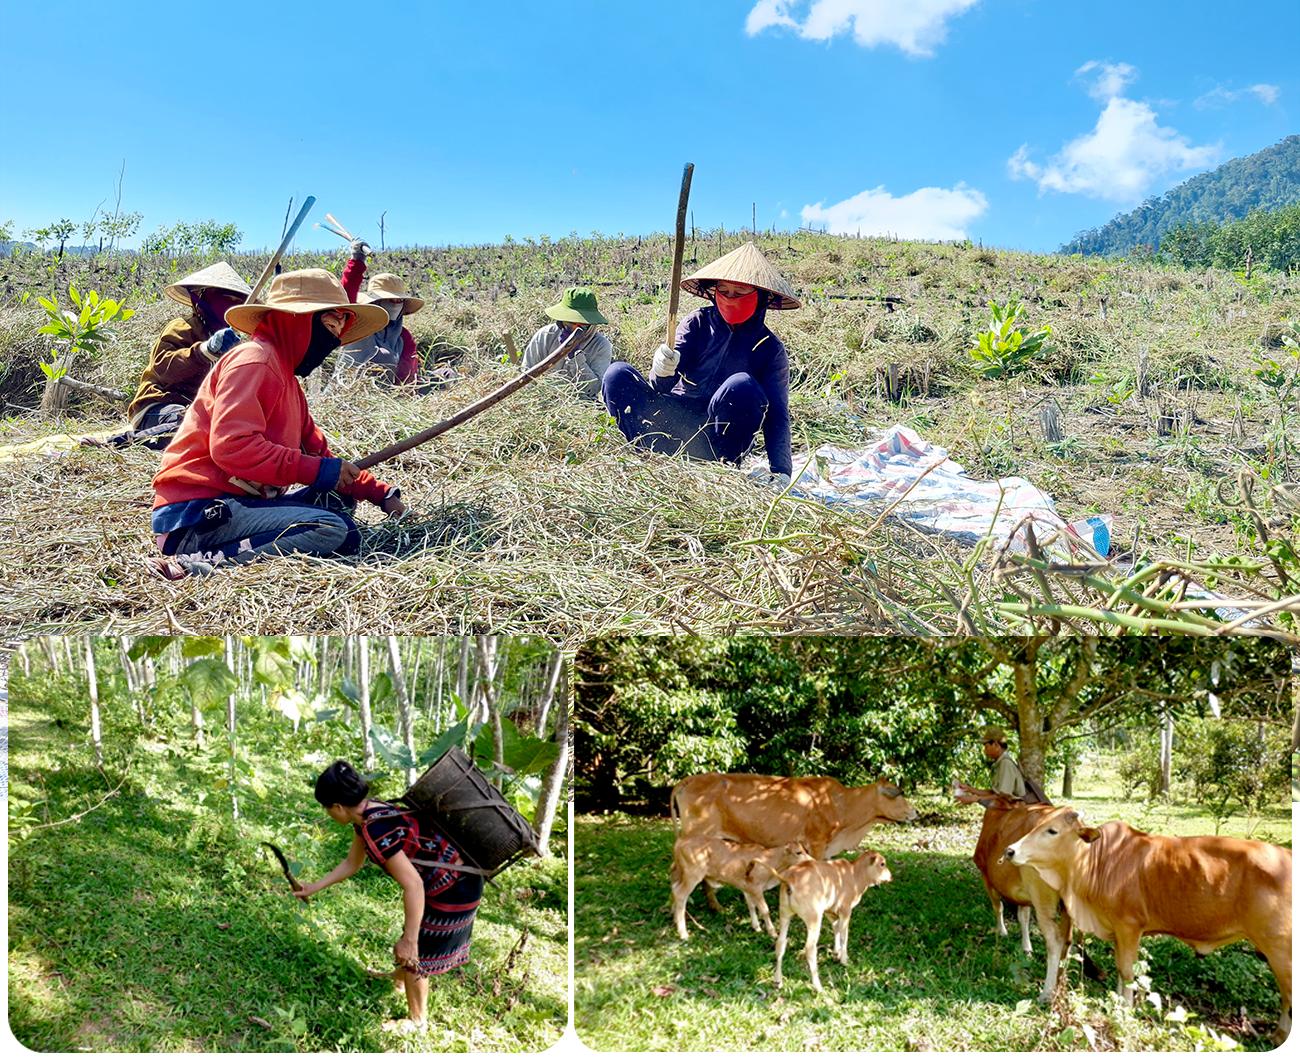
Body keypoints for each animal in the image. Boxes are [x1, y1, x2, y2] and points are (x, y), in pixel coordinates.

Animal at [670, 837, 811, 935]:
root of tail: (680, 840)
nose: (811, 861)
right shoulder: (756, 887)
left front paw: (757, 927)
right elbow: (764, 909)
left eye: (805, 850)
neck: (769, 859)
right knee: (680, 895)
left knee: (675, 890)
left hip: (681, 875)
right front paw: (772, 933)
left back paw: (676, 921)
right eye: (798, 852)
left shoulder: (747, 887)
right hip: (692, 875)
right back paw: (683, 933)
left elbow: (751, 906)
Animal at [769, 847, 894, 987]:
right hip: (814, 918)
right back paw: (817, 985)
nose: (890, 876)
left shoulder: (830, 911)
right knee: (810, 948)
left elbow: (836, 929)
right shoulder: (845, 909)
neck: (854, 874)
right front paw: (844, 960)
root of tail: (790, 879)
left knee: (780, 944)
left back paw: (777, 980)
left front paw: (836, 953)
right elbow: (844, 934)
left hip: (785, 915)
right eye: (882, 864)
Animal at [951, 774, 1071, 998]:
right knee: (1068, 940)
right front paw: (1027, 947)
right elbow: (1023, 917)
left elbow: (997, 906)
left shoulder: (985, 874)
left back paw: (1047, 992)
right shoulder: (1022, 890)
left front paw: (1002, 931)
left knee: (1055, 941)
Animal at [1003, 805, 1289, 1045]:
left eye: (1052, 831)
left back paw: (1280, 1035)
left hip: (1279, 948)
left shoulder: (1129, 926)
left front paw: (1125, 1013)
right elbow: (1120, 971)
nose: (1010, 850)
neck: (1099, 861)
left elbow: (1128, 971)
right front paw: (1119, 1006)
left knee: (1288, 993)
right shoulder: (1118, 931)